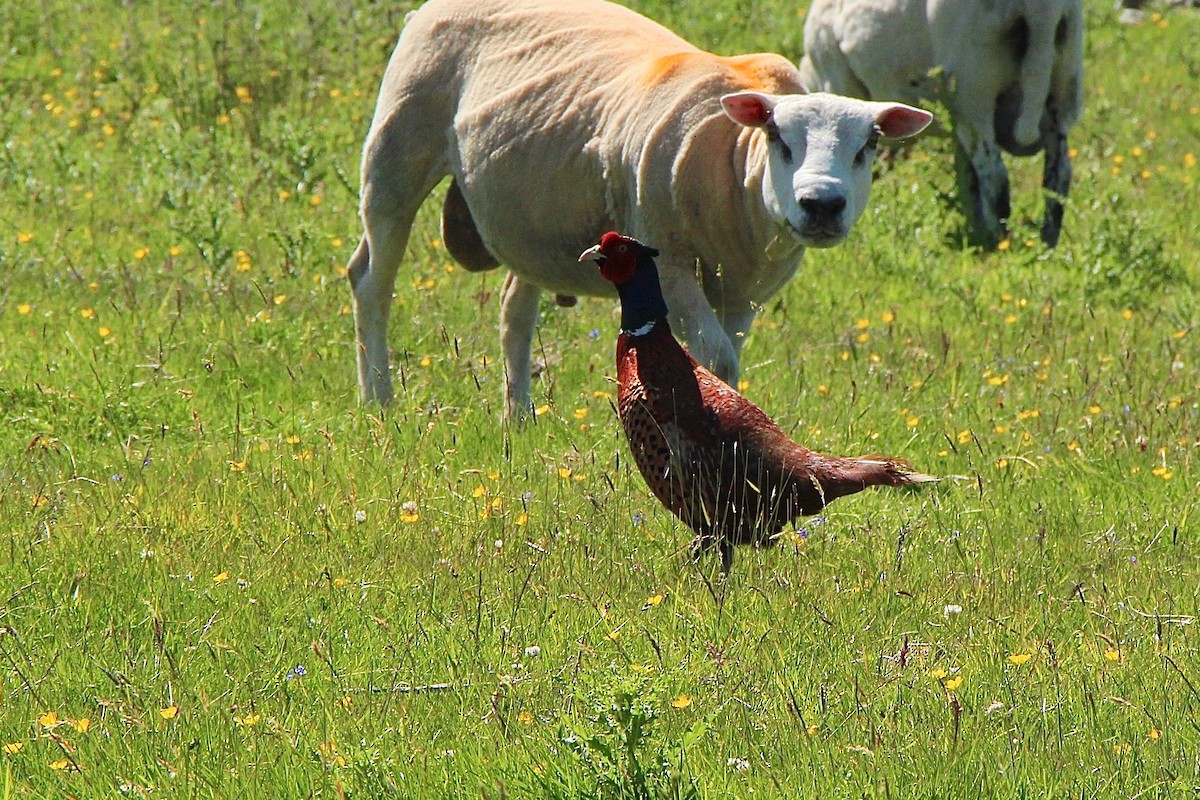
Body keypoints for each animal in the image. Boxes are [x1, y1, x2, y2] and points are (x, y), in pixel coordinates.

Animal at [348, 0, 926, 419]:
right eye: (779, 138)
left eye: (869, 144)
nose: (822, 204)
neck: (736, 165)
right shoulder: (668, 261)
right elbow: (715, 357)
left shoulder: (746, 290)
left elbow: (726, 355)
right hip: (396, 154)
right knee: (371, 280)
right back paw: (379, 402)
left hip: (528, 215)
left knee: (515, 305)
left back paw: (519, 417)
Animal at [796, 0, 1089, 247]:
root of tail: (1042, 11)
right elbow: (967, 178)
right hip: (1064, 83)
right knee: (1058, 175)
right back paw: (1047, 239)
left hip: (974, 92)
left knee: (995, 176)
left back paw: (997, 240)